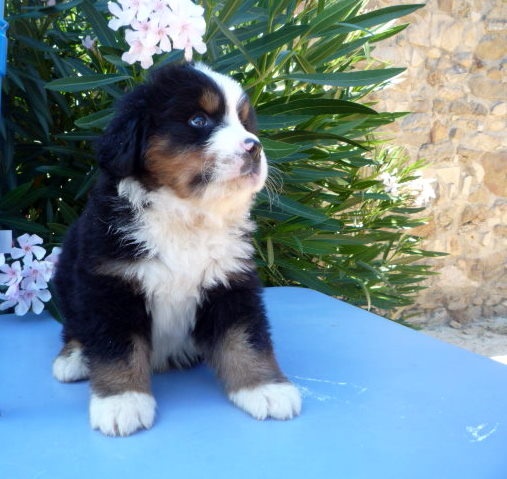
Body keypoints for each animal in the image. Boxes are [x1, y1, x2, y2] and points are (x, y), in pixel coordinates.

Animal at [52, 62, 301, 436]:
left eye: (245, 124)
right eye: (199, 120)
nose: (254, 148)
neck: (187, 216)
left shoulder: (231, 282)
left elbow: (246, 339)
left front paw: (265, 388)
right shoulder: (111, 283)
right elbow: (117, 347)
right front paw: (122, 400)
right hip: (67, 275)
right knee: (75, 327)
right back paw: (74, 358)